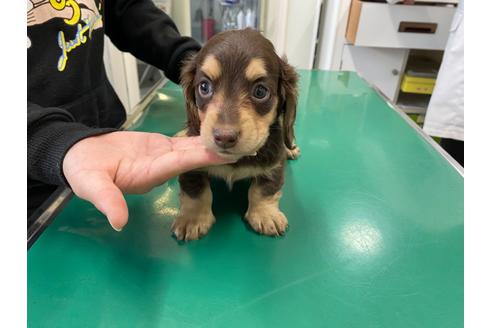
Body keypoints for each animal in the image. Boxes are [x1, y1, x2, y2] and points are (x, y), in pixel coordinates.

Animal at [173, 28, 298, 241]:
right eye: (204, 87)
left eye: (260, 91)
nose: (224, 137)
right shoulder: (190, 167)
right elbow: (196, 190)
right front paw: (193, 218)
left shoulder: (274, 162)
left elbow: (265, 189)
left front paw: (266, 214)